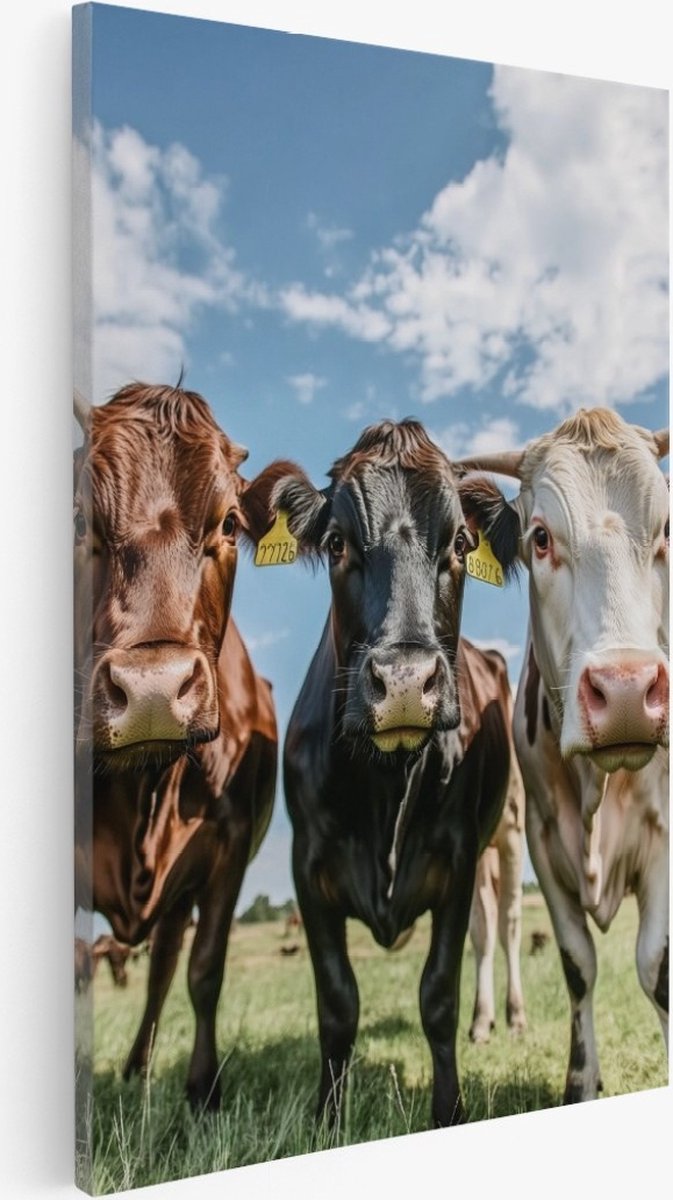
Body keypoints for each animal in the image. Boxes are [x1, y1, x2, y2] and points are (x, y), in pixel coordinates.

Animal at [74, 382, 287, 1110]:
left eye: (227, 523)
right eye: (80, 517)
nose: (152, 691)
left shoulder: (226, 851)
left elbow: (203, 970)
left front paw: (202, 1089)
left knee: (165, 962)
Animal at [265, 419, 515, 1128]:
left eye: (459, 542)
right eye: (337, 542)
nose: (405, 682)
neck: (384, 784)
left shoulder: (456, 861)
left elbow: (437, 996)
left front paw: (449, 1108)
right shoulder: (307, 867)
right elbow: (338, 1003)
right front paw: (327, 1117)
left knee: (504, 925)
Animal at [457, 407, 669, 1103]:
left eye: (665, 529)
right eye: (541, 538)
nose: (627, 692)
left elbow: (656, 966)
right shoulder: (545, 844)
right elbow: (578, 965)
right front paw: (581, 1079)